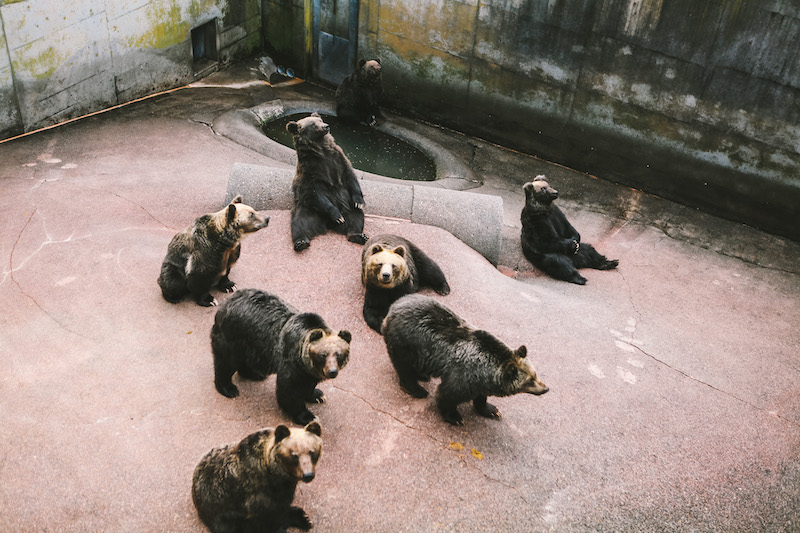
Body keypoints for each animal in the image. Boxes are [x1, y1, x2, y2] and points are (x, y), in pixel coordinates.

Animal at [211, 286, 352, 424]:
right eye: (323, 354)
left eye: (339, 355)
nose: (332, 372)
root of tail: (226, 303)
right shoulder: (291, 361)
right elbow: (290, 390)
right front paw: (307, 416)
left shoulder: (308, 371)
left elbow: (309, 384)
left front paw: (317, 395)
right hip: (233, 336)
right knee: (226, 362)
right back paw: (228, 388)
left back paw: (255, 374)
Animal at [288, 111, 368, 251]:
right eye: (312, 124)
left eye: (320, 120)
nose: (326, 126)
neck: (321, 151)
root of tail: (328, 225)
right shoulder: (310, 170)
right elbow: (314, 192)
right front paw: (337, 216)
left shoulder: (338, 159)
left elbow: (350, 176)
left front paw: (359, 201)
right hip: (308, 209)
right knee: (300, 223)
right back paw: (301, 242)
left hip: (347, 205)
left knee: (356, 217)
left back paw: (358, 235)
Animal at [382, 294, 552, 426]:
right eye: (530, 380)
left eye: (535, 374)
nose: (546, 388)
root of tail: (394, 306)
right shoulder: (464, 376)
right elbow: (447, 394)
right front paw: (455, 417)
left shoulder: (480, 381)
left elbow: (481, 396)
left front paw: (492, 410)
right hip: (406, 343)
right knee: (404, 367)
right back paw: (416, 389)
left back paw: (423, 375)